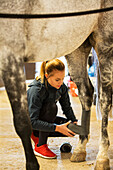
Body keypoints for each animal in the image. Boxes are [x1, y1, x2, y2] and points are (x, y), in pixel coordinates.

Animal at [0, 0, 112, 170]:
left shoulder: (10, 55)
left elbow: (22, 122)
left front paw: (32, 165)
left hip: (104, 42)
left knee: (105, 99)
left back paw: (102, 157)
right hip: (78, 46)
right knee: (86, 93)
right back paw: (80, 149)